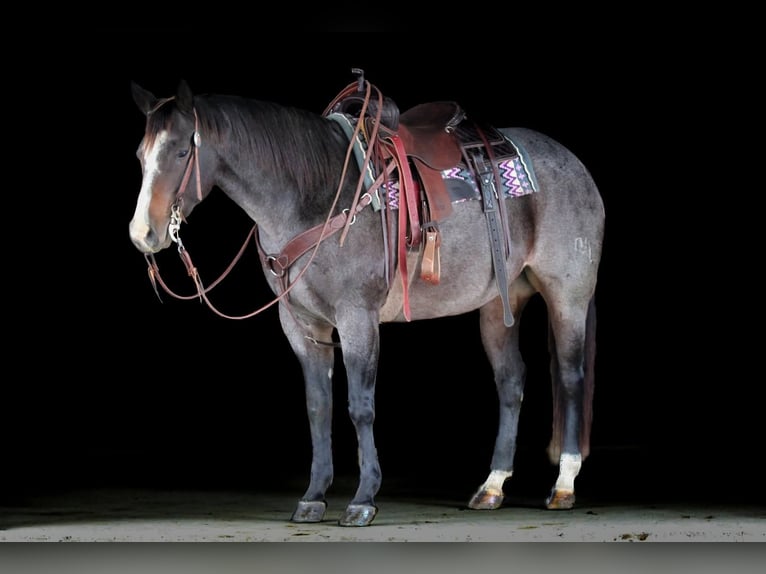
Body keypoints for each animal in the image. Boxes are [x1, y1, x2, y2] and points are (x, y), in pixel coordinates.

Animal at [128, 74, 605, 527]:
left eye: (181, 153)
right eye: (140, 155)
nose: (142, 234)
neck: (314, 196)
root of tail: (575, 164)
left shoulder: (357, 317)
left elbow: (360, 406)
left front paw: (362, 500)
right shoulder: (301, 325)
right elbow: (318, 407)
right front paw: (313, 497)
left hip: (568, 295)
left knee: (570, 376)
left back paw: (563, 485)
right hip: (497, 306)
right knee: (510, 381)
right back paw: (491, 487)